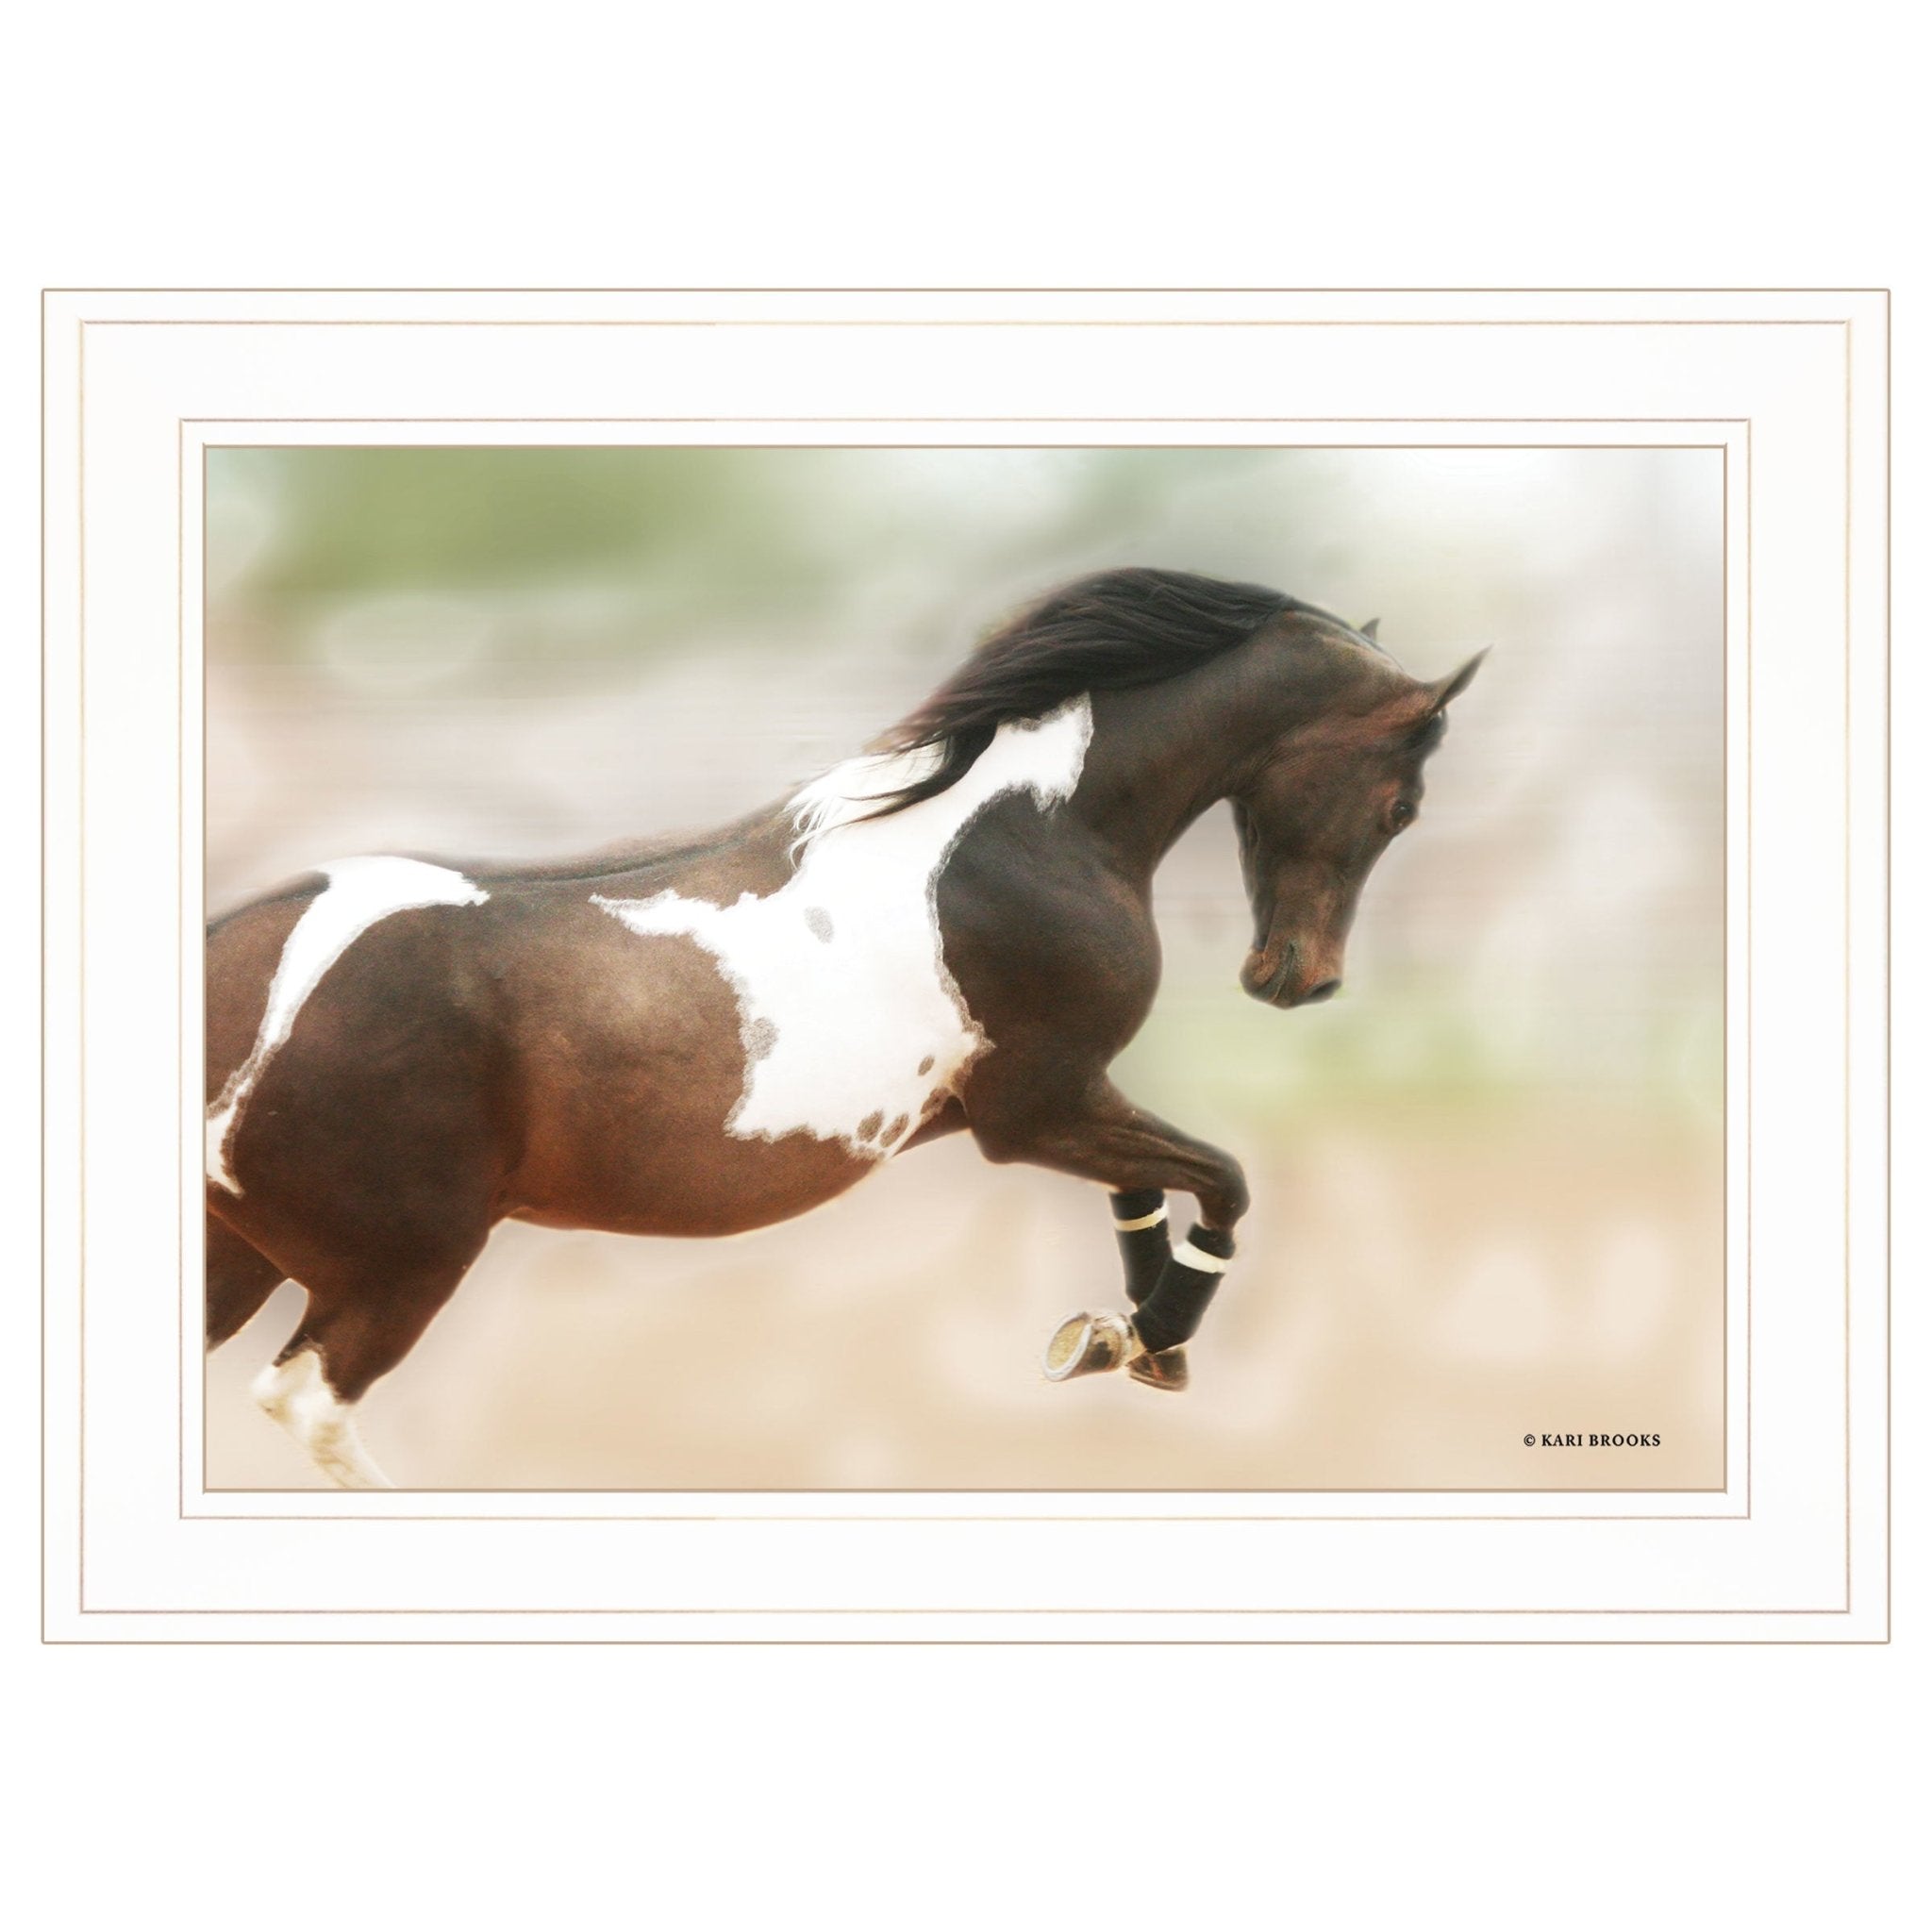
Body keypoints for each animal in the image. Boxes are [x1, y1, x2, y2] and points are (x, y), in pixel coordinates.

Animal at [205, 566, 1481, 1488]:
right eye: (1400, 804)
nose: (1297, 981)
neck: (1023, 833)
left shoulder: (1064, 1101)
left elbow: (1153, 1186)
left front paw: (1127, 1338)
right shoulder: (1035, 1109)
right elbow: (1221, 1180)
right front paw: (1151, 1332)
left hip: (239, 1256)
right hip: (402, 1260)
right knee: (309, 1405)